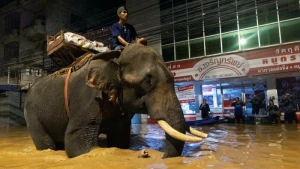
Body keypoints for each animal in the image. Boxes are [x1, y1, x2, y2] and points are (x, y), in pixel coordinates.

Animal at [24, 43, 207, 158]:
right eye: (147, 81)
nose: (161, 157)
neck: (116, 56)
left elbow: (120, 139)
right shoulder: (88, 98)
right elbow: (77, 144)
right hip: (31, 114)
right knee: (46, 144)